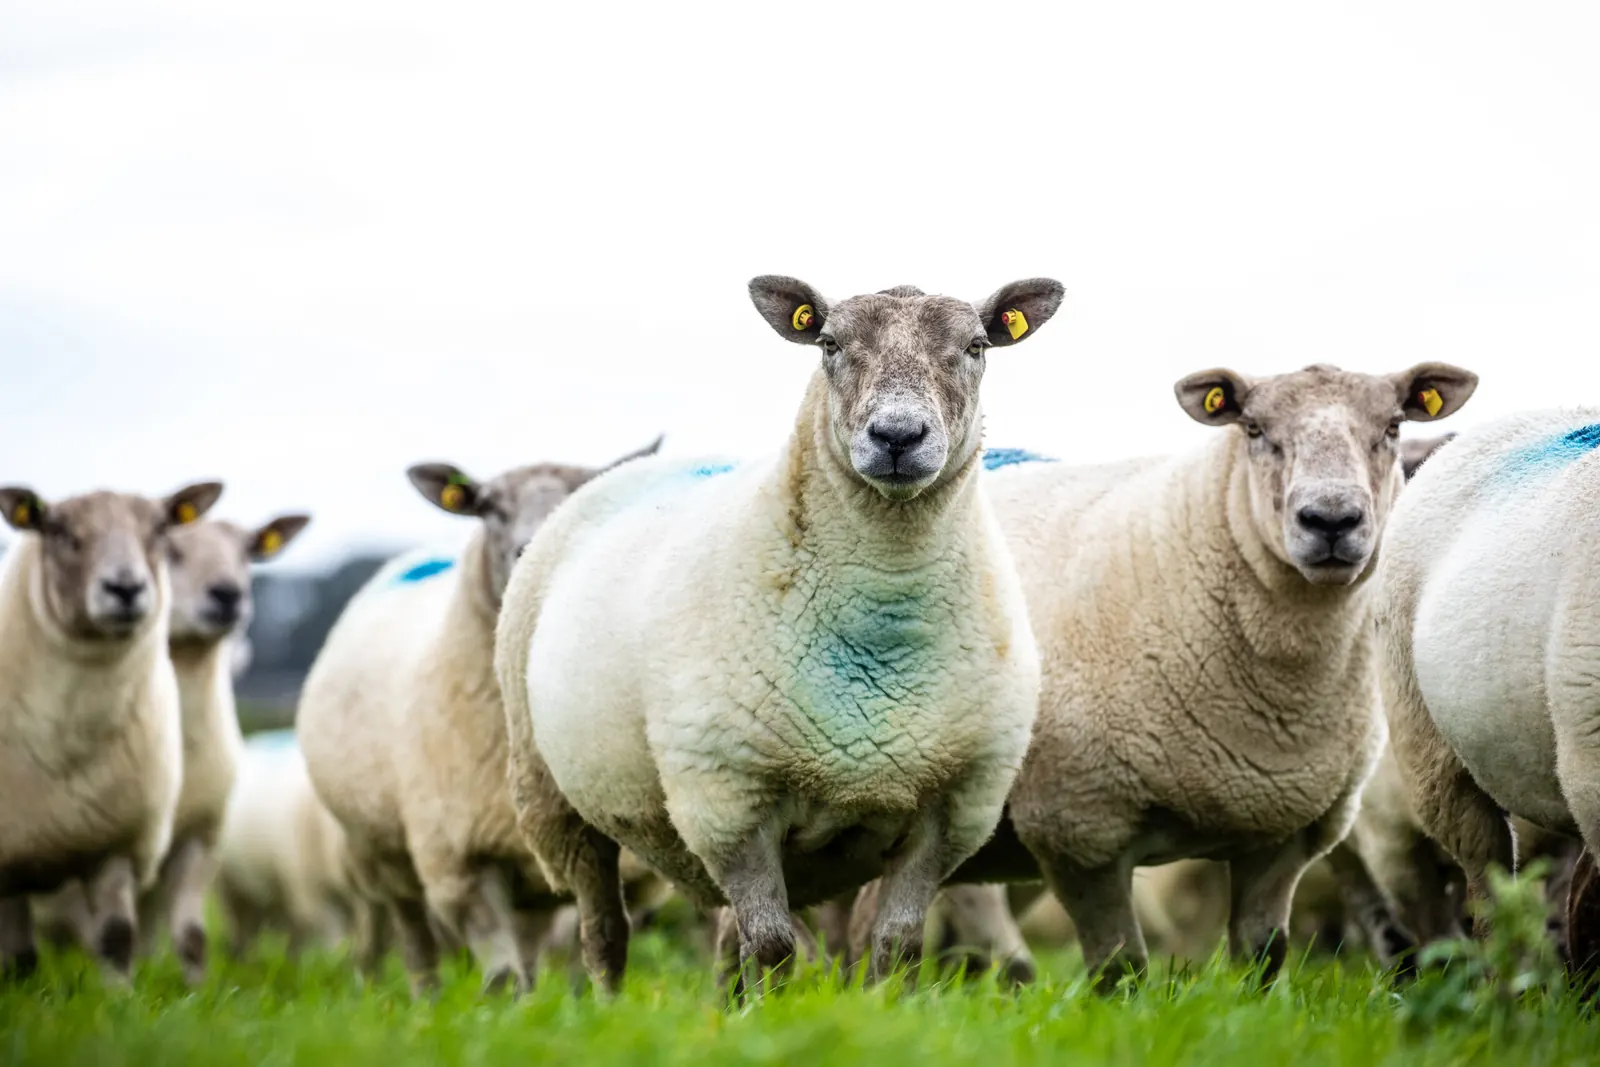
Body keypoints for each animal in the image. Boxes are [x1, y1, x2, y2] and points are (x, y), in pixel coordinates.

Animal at [0, 481, 223, 979]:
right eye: (57, 530)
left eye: (159, 529)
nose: (125, 588)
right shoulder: (10, 856)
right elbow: (19, 957)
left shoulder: (118, 837)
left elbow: (118, 936)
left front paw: (119, 994)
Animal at [296, 438, 663, 995]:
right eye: (488, 508)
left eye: (580, 492)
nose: (530, 548)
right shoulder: (459, 862)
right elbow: (502, 974)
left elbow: (580, 951)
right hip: (379, 855)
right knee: (416, 940)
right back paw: (425, 1001)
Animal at [495, 276, 1062, 994]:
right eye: (829, 344)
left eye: (977, 346)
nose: (897, 435)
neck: (882, 625)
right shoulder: (730, 803)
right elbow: (771, 946)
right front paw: (772, 1009)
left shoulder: (949, 811)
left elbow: (895, 944)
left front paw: (880, 1005)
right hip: (552, 798)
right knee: (604, 931)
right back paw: (606, 1002)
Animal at [935, 362, 1478, 990]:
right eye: (1254, 428)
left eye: (1392, 426)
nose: (1332, 521)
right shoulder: (1078, 828)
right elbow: (1121, 969)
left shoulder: (1283, 836)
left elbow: (1264, 958)